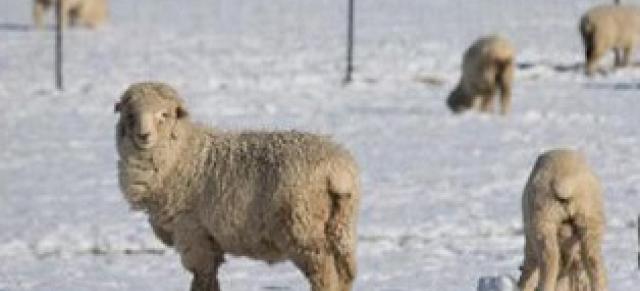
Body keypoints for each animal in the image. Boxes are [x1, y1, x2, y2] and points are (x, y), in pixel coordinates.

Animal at [115, 82, 362, 291]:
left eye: (163, 115)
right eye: (130, 115)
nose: (143, 136)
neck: (184, 154)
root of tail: (337, 168)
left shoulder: (193, 233)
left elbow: (202, 279)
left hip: (303, 228)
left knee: (325, 274)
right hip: (341, 226)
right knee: (344, 274)